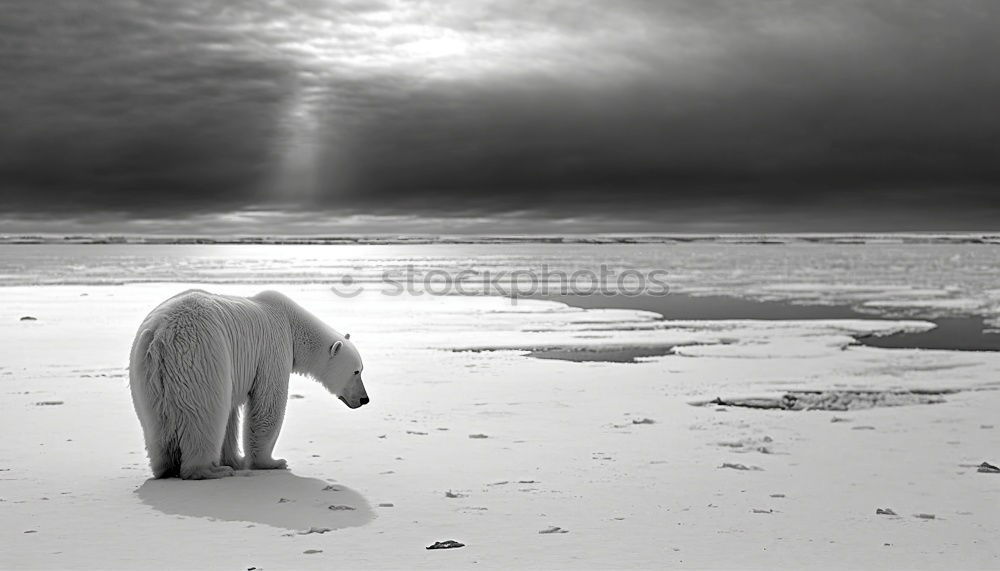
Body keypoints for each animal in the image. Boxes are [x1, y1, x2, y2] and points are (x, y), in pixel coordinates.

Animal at [129, 288, 368, 480]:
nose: (365, 399)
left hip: (144, 371)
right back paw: (209, 470)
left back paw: (166, 468)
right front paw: (271, 462)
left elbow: (232, 413)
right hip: (200, 355)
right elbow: (268, 404)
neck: (291, 322)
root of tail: (161, 336)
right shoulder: (273, 349)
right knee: (205, 413)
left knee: (154, 422)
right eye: (356, 371)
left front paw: (234, 460)